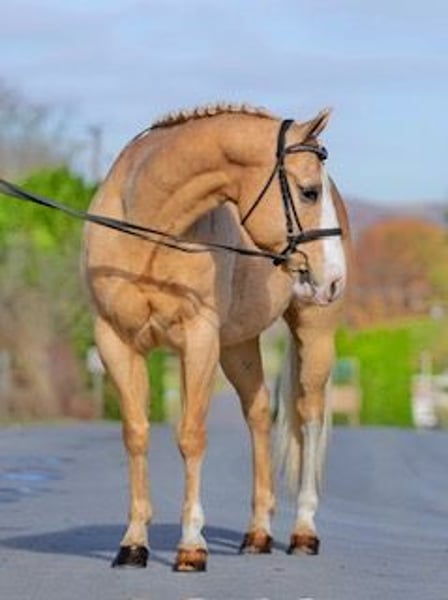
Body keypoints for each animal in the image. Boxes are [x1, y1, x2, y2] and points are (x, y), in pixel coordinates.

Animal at [82, 102, 350, 572]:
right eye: (309, 192)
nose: (334, 277)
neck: (145, 230)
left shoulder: (199, 339)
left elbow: (191, 436)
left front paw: (192, 545)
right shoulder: (115, 340)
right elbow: (135, 433)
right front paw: (133, 544)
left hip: (313, 334)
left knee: (310, 416)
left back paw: (303, 532)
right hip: (238, 345)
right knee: (260, 414)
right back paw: (258, 533)